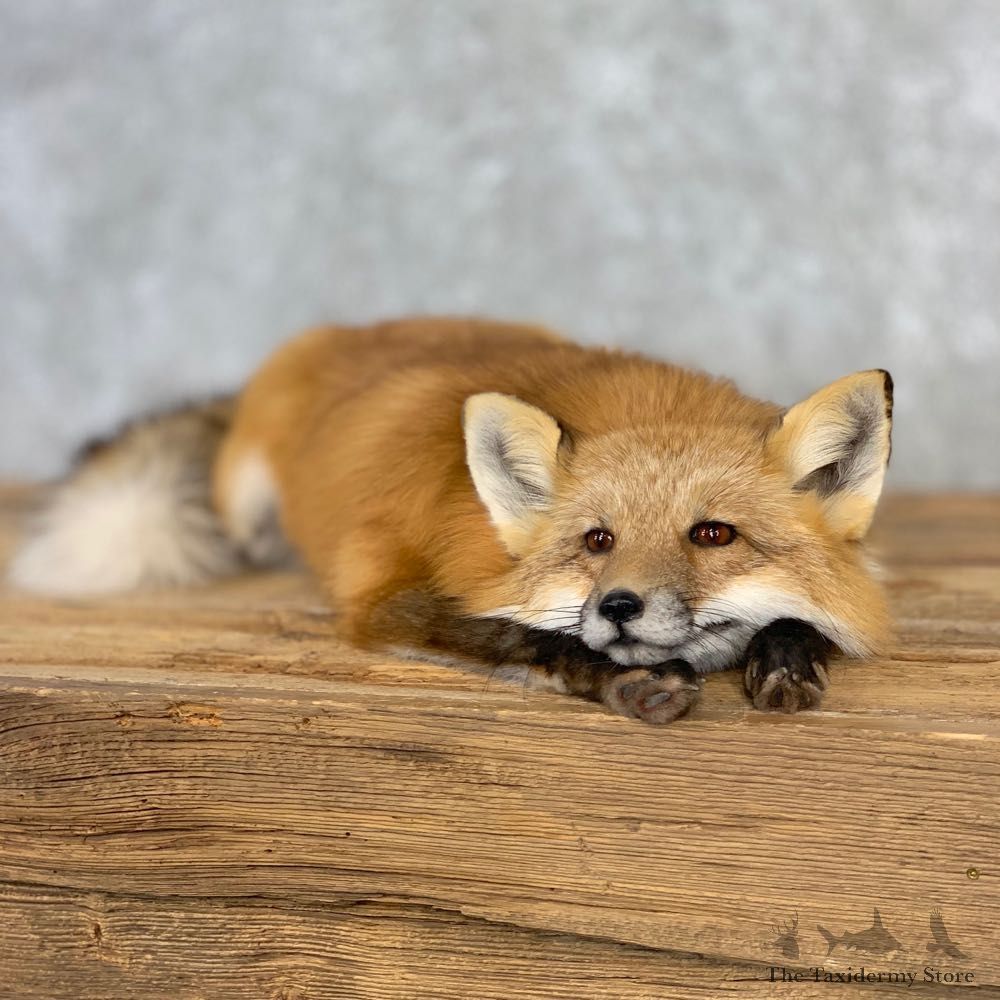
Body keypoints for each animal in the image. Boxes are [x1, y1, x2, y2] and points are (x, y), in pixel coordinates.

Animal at [9, 317, 893, 724]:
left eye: (713, 535)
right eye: (596, 542)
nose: (618, 607)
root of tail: (336, 332)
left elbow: (807, 615)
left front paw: (786, 654)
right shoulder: (384, 594)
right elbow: (522, 634)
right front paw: (624, 676)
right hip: (246, 511)